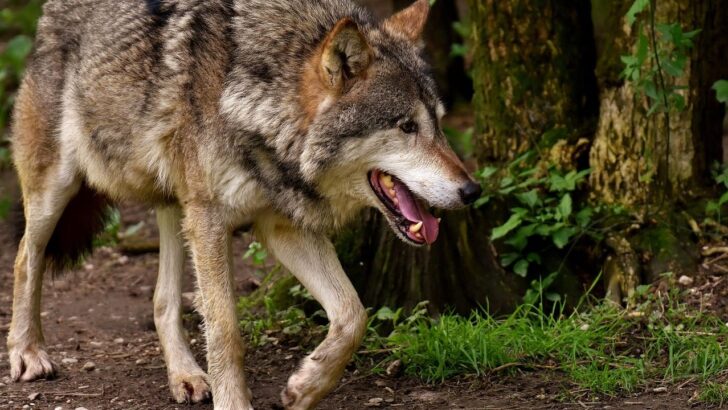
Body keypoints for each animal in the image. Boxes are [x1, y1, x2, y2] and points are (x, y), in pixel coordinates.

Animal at [7, 0, 481, 408]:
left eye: (439, 124)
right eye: (406, 127)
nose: (472, 191)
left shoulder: (280, 226)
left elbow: (353, 314)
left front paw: (305, 387)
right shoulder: (212, 220)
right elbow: (226, 331)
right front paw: (235, 401)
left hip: (176, 205)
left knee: (163, 300)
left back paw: (186, 376)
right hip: (59, 187)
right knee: (25, 257)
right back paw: (27, 353)